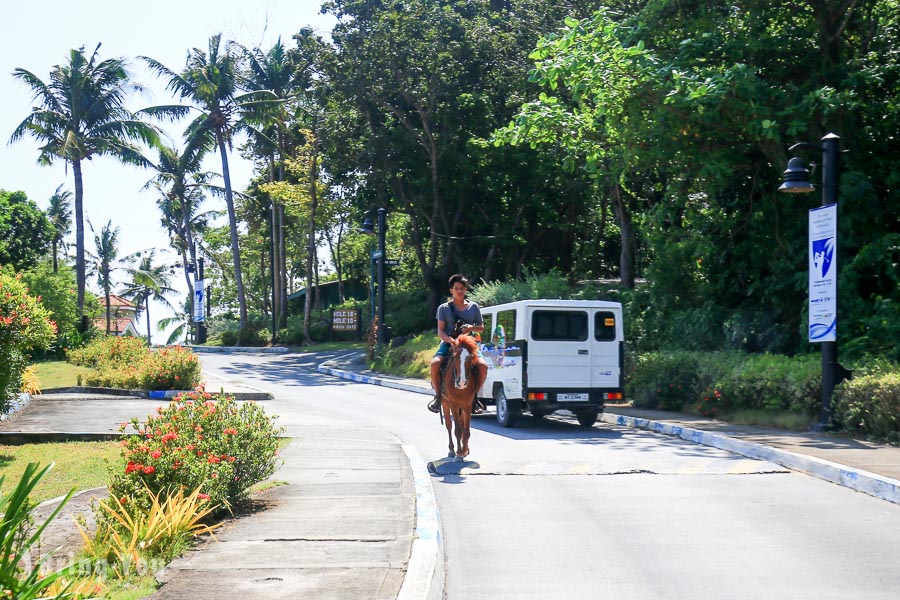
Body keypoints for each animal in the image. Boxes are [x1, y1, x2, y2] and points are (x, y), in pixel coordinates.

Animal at [442, 332, 482, 460]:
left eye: (470, 357)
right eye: (455, 357)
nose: (462, 382)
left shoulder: (468, 405)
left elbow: (466, 430)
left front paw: (465, 450)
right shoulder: (453, 404)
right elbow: (458, 430)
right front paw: (459, 453)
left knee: (461, 424)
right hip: (445, 403)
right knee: (449, 425)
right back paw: (451, 450)